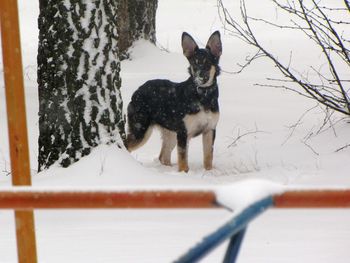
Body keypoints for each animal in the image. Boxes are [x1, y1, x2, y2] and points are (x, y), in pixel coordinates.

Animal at [127, 31, 223, 173]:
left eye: (208, 63)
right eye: (194, 64)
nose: (199, 77)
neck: (202, 95)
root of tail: (137, 91)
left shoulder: (210, 130)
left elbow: (208, 156)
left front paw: (209, 172)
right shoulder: (183, 132)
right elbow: (182, 159)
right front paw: (184, 174)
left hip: (171, 133)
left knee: (163, 156)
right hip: (140, 130)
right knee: (127, 146)